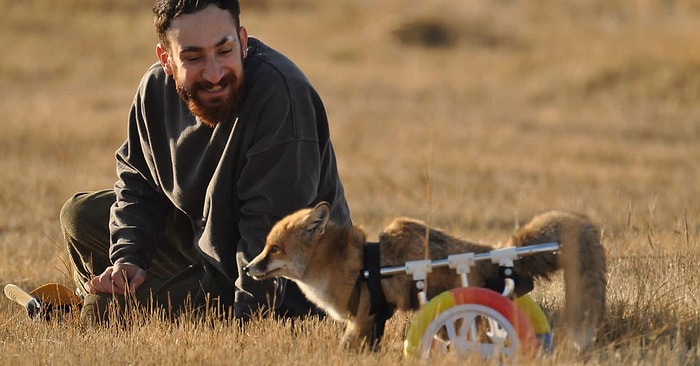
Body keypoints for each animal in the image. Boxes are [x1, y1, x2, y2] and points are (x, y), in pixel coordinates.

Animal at [245, 202, 608, 350]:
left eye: (275, 249)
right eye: (265, 247)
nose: (248, 268)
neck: (349, 263)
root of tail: (499, 251)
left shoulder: (363, 316)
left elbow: (347, 348)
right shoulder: (375, 319)